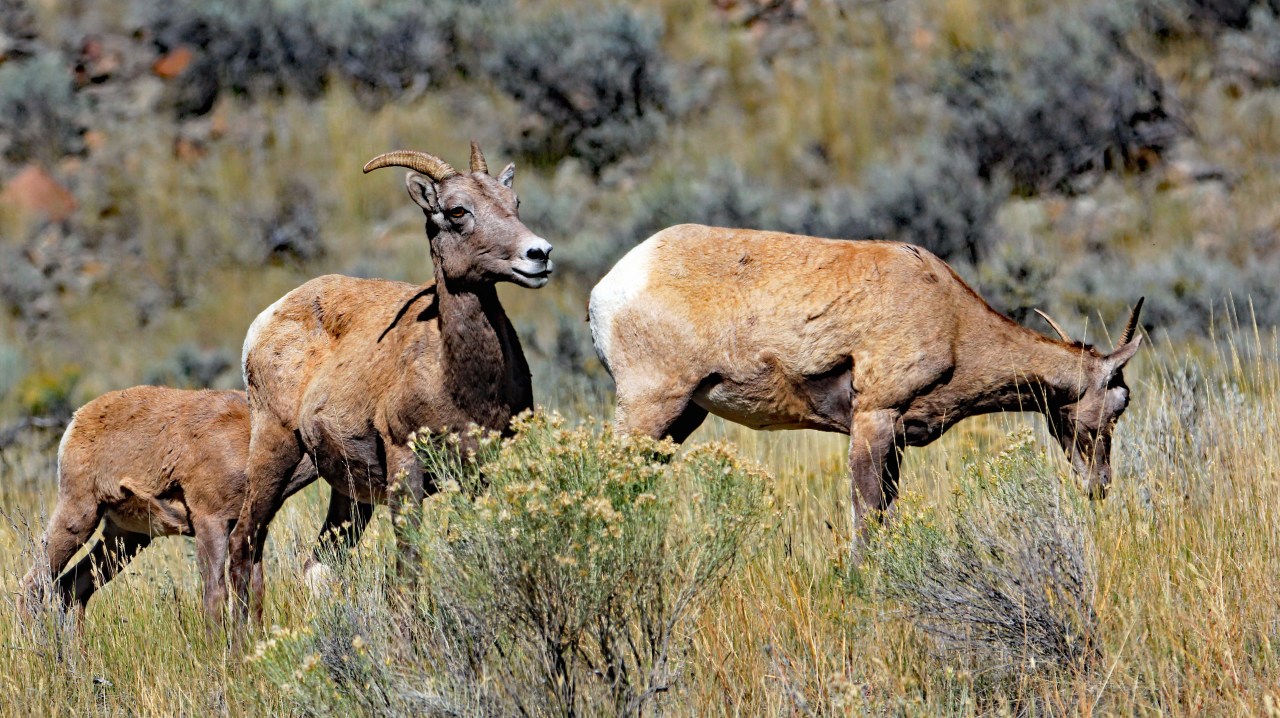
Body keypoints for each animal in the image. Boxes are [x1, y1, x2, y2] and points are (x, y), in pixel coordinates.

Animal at [19, 386, 315, 624]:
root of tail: (75, 421)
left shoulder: (255, 530)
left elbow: (256, 594)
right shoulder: (209, 520)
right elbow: (215, 596)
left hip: (126, 538)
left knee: (71, 588)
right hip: (80, 516)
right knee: (32, 584)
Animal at [227, 142, 554, 621]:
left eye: (514, 203)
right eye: (457, 211)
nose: (539, 254)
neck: (463, 384)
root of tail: (264, 323)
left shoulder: (479, 472)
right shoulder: (405, 461)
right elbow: (409, 564)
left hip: (343, 492)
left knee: (318, 563)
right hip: (277, 453)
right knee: (243, 543)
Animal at [588, 224, 1143, 538]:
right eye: (1118, 405)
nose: (1099, 487)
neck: (954, 322)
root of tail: (608, 288)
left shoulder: (895, 439)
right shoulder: (873, 421)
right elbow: (866, 516)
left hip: (682, 419)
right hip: (650, 408)